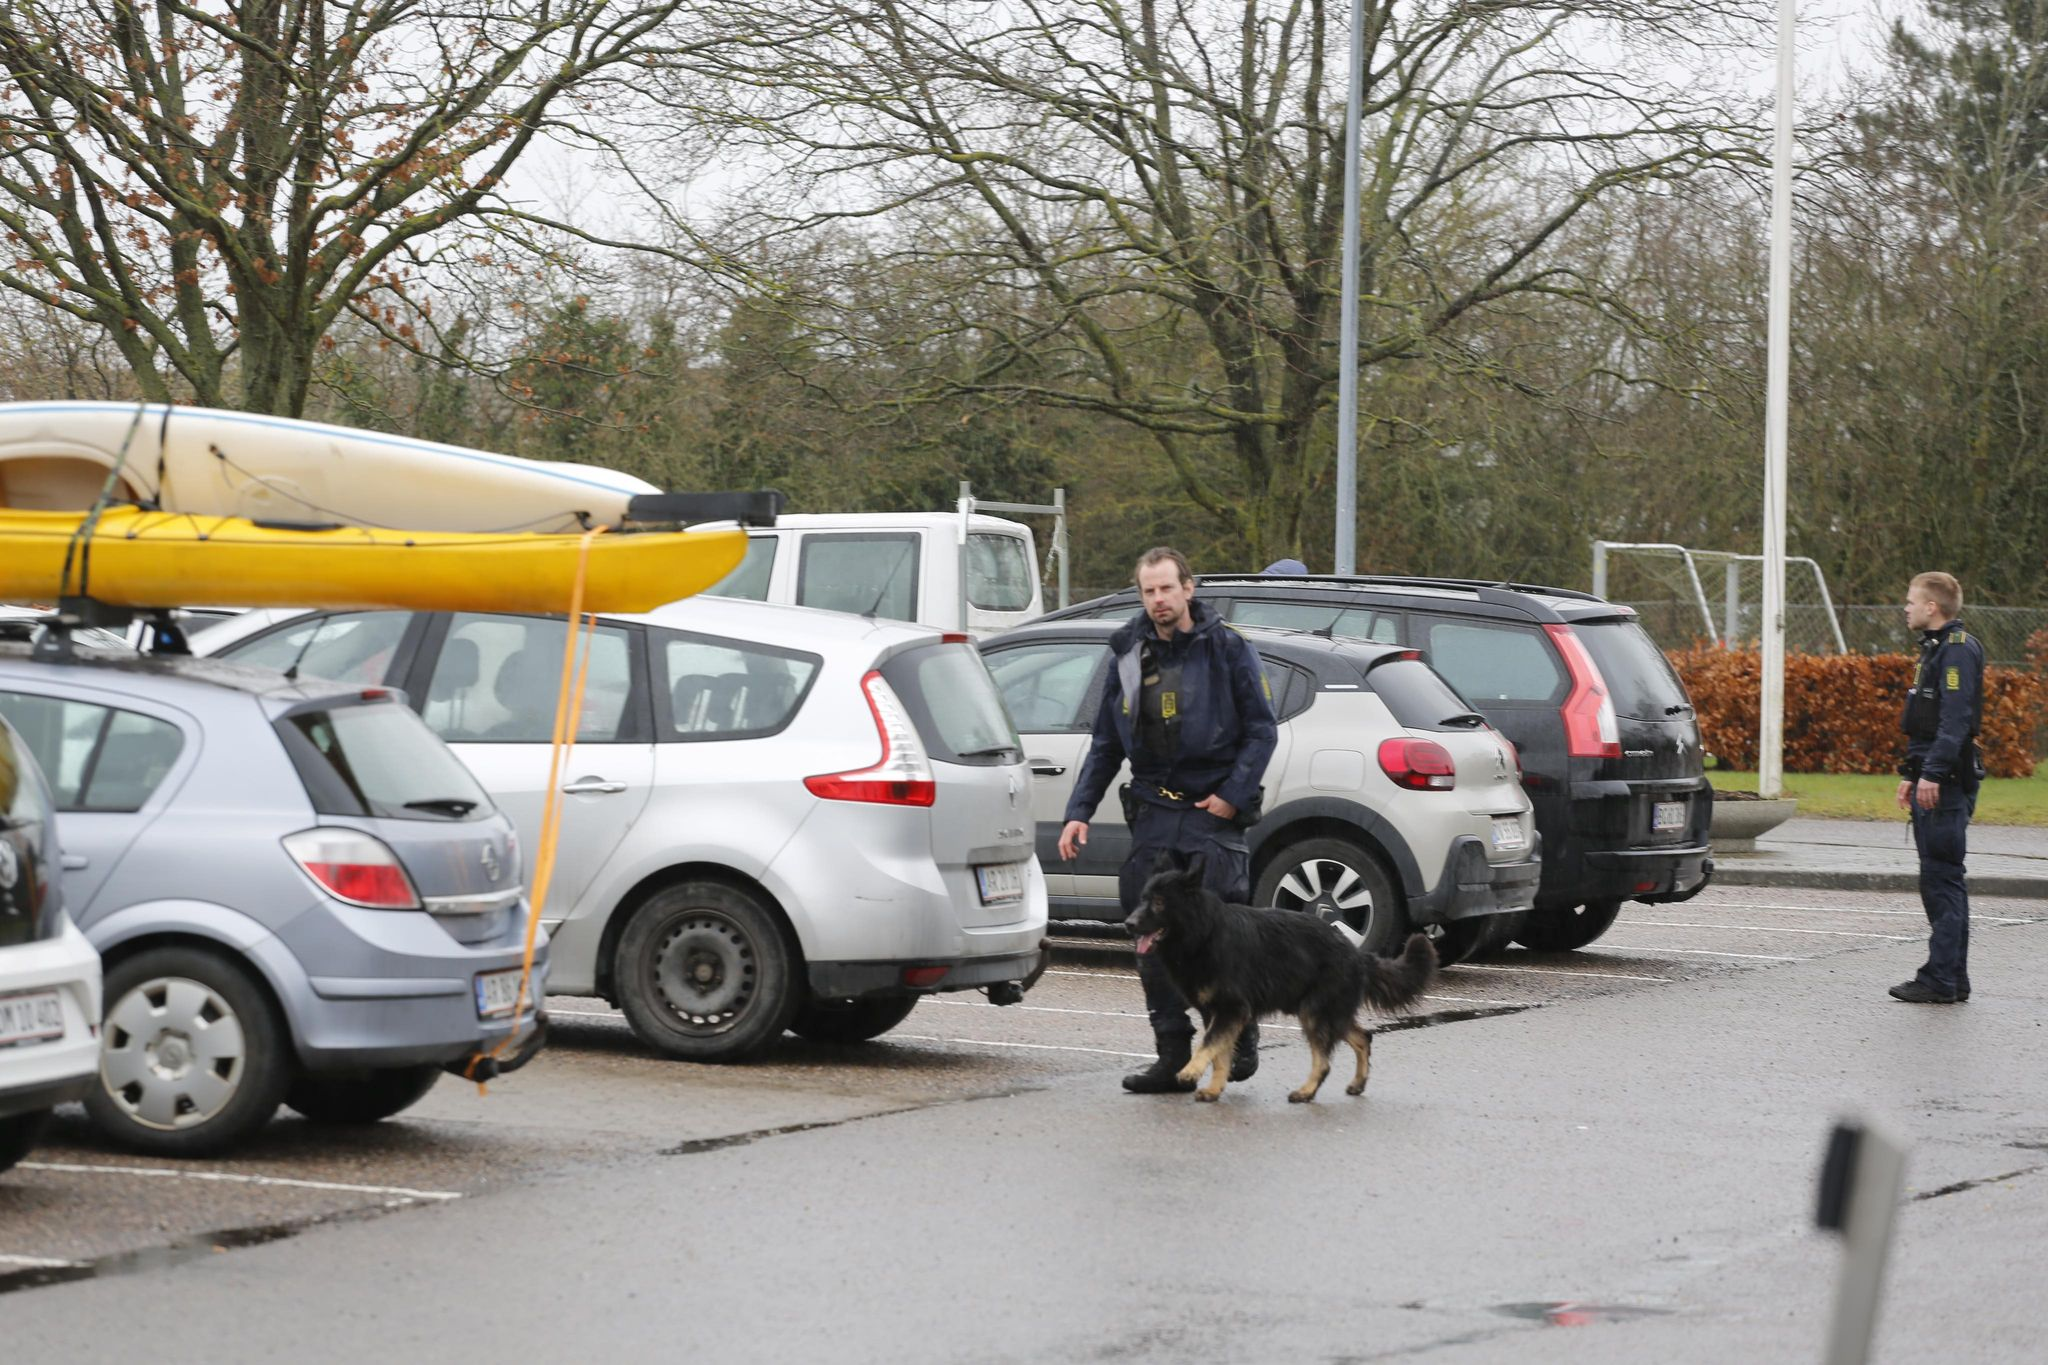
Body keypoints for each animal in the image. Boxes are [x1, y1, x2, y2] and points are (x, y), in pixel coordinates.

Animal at [1122, 859, 1441, 1105]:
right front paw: (1214, 1088)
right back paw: (1357, 1083)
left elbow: (1208, 1043)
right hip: (1325, 1011)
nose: (1128, 924)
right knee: (1363, 1037)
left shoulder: (1231, 1010)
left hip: (1314, 1012)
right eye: (1143, 899)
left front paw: (1190, 1071)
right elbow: (1220, 1054)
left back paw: (1306, 1092)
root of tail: (1357, 953)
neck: (1203, 933)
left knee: (1324, 1062)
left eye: (1160, 903)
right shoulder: (1216, 1013)